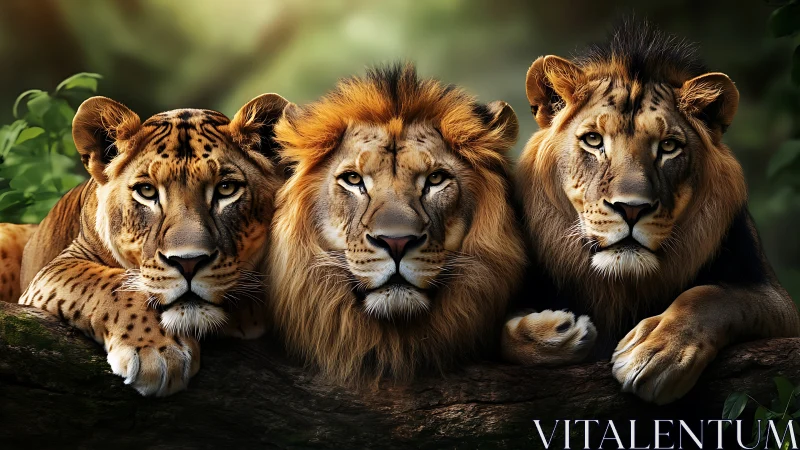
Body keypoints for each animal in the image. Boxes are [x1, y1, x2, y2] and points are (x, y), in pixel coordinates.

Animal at [17, 93, 290, 396]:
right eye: (147, 191)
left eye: (226, 189)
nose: (188, 263)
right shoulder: (56, 267)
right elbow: (112, 284)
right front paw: (156, 352)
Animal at [510, 21, 800, 404]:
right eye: (593, 140)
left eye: (668, 147)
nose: (631, 209)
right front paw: (558, 332)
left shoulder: (781, 305)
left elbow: (712, 295)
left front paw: (657, 352)